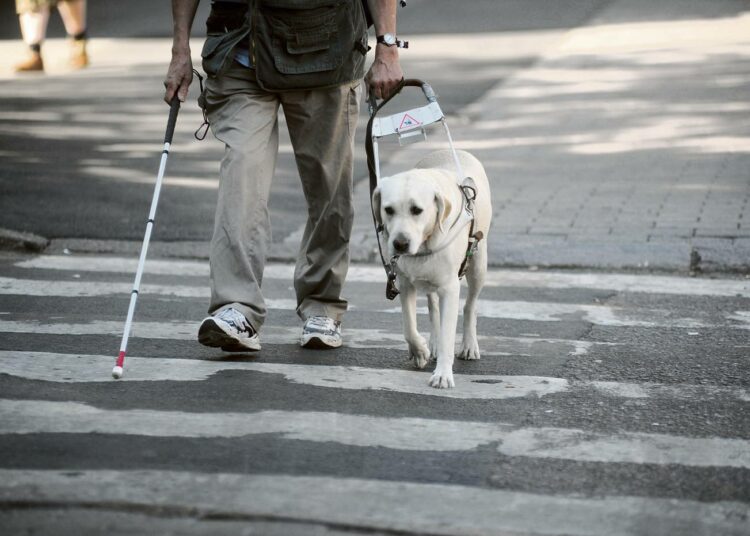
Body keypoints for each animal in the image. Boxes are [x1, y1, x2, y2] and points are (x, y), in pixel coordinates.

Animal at [372, 149, 494, 388]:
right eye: (388, 210)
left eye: (417, 210)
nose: (400, 244)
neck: (424, 244)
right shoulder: (404, 283)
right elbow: (409, 327)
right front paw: (420, 350)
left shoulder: (450, 288)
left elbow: (449, 334)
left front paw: (443, 375)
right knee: (433, 307)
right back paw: (434, 343)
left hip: (478, 265)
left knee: (470, 306)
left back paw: (469, 345)